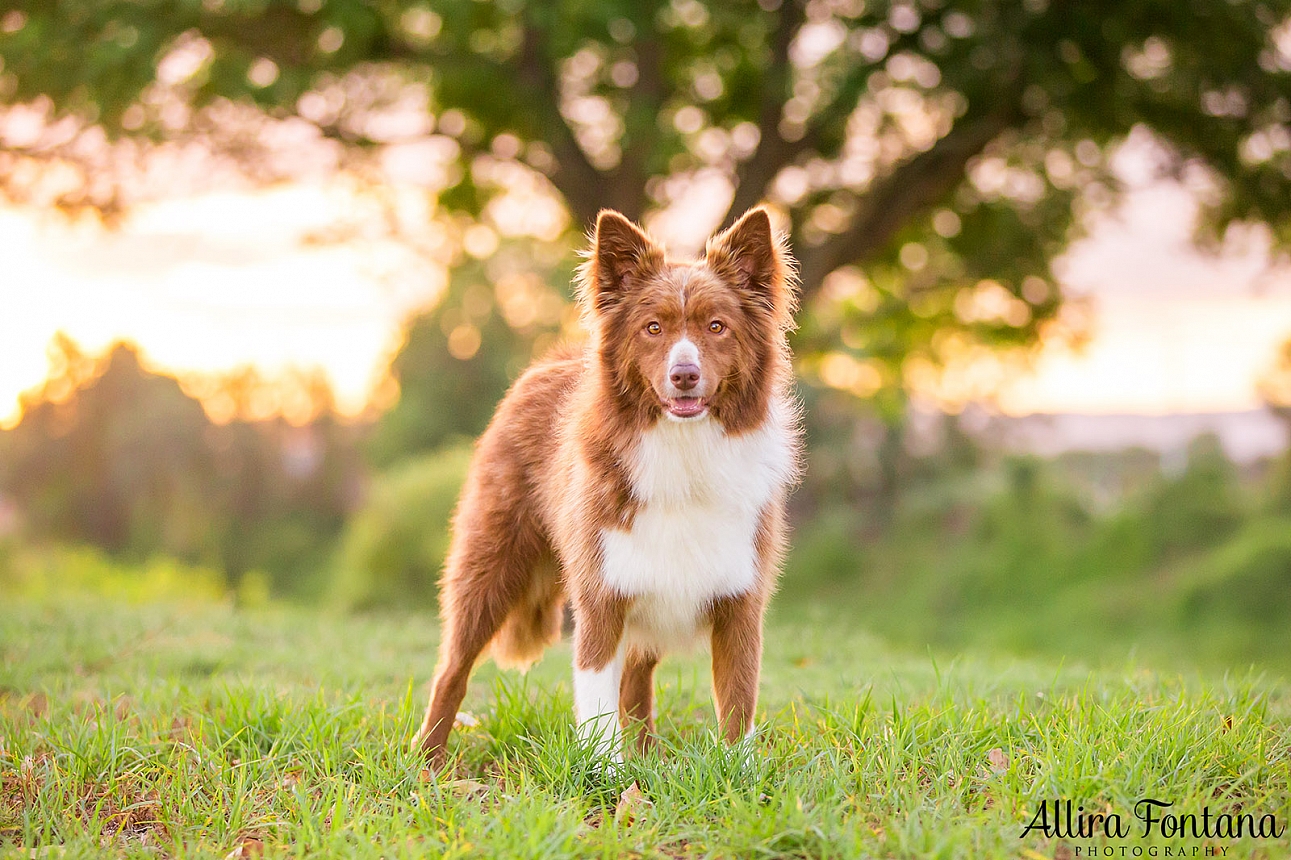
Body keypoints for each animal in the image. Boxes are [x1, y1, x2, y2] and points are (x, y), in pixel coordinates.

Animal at [413, 207, 800, 764]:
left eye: (717, 326)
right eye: (652, 327)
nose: (685, 375)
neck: (684, 449)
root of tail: (544, 364)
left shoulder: (740, 598)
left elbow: (737, 701)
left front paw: (736, 773)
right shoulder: (603, 591)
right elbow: (596, 695)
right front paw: (606, 773)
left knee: (637, 683)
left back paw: (645, 758)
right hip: (489, 563)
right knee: (453, 668)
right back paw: (428, 763)